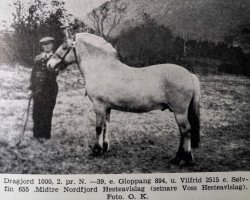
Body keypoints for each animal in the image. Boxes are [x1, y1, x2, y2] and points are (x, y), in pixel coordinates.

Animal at [47, 32, 201, 164]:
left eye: (64, 47)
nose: (49, 64)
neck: (102, 68)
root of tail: (190, 74)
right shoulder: (107, 107)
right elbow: (106, 125)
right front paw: (105, 147)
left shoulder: (98, 105)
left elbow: (98, 127)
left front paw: (96, 150)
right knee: (183, 132)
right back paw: (181, 156)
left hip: (179, 111)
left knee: (186, 131)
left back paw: (182, 158)